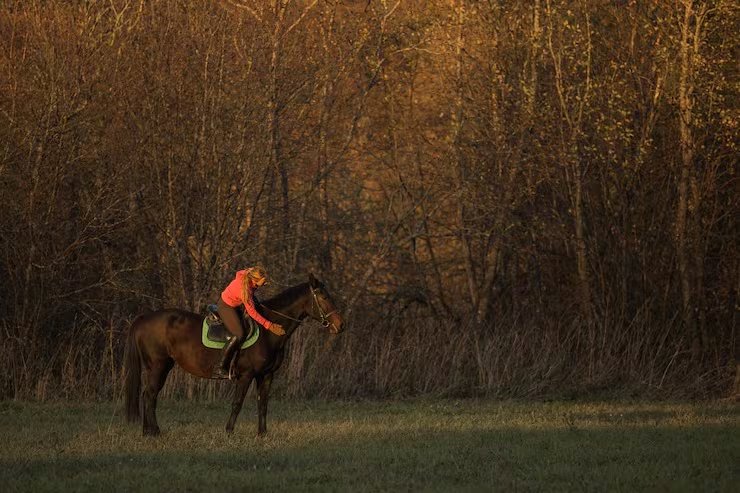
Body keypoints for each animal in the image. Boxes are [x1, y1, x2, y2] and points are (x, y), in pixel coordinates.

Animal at [123, 273, 344, 436]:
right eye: (324, 297)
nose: (341, 325)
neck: (268, 331)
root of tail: (143, 318)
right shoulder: (246, 375)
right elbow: (237, 403)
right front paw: (229, 432)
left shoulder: (266, 375)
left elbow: (263, 404)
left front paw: (262, 434)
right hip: (158, 366)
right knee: (150, 394)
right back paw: (155, 432)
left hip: (162, 366)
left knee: (148, 394)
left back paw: (147, 432)